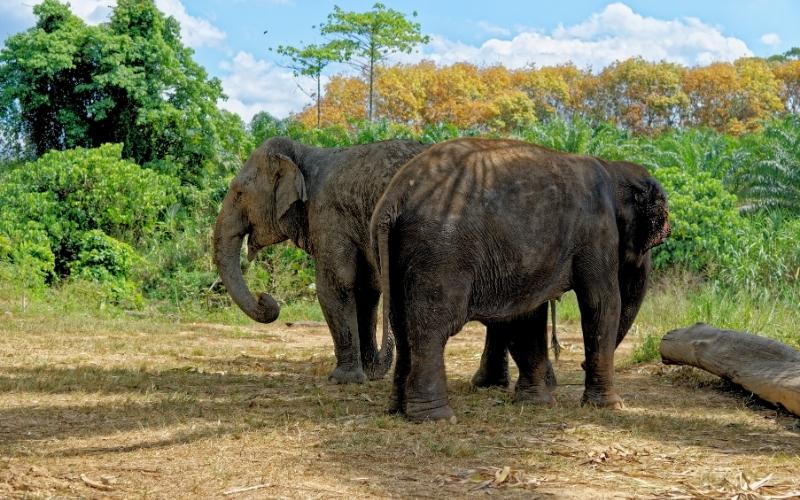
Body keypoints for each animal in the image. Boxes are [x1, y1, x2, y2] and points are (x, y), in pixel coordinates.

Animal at [213, 136, 430, 384]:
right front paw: (367, 374)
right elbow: (364, 289)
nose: (263, 298)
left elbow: (334, 285)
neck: (303, 154)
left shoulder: (328, 216)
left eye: (239, 193)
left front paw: (342, 379)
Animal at [370, 138, 670, 422]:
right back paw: (437, 418)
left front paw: (538, 403)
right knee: (432, 326)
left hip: (393, 253)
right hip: (440, 253)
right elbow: (601, 303)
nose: (580, 365)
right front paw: (611, 406)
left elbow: (526, 315)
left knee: (401, 324)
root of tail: (395, 197)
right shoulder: (598, 232)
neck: (612, 168)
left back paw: (398, 410)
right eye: (655, 238)